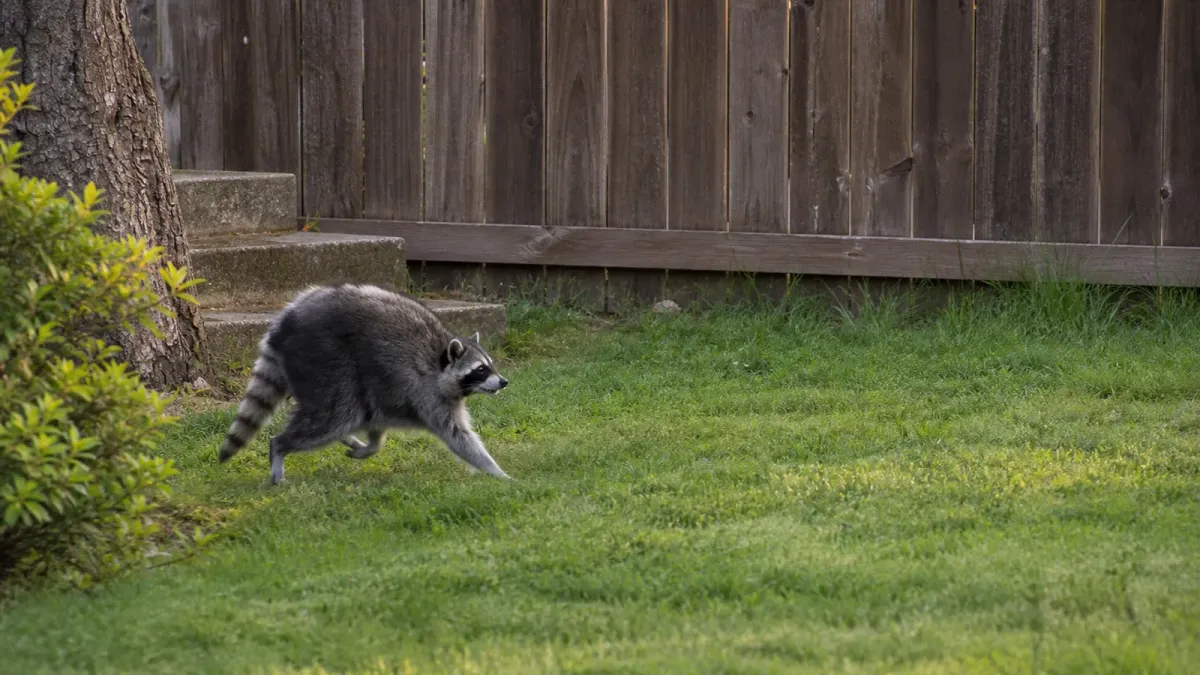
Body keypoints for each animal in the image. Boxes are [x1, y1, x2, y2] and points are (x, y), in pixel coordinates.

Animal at [217, 283, 512, 484]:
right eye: (481, 369)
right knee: (336, 415)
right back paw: (279, 448)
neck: (440, 364)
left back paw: (347, 438)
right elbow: (458, 436)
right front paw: (498, 473)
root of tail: (286, 321)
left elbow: (377, 427)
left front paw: (371, 446)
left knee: (346, 414)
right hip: (324, 357)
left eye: (491, 365)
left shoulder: (389, 392)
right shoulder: (427, 393)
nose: (504, 382)